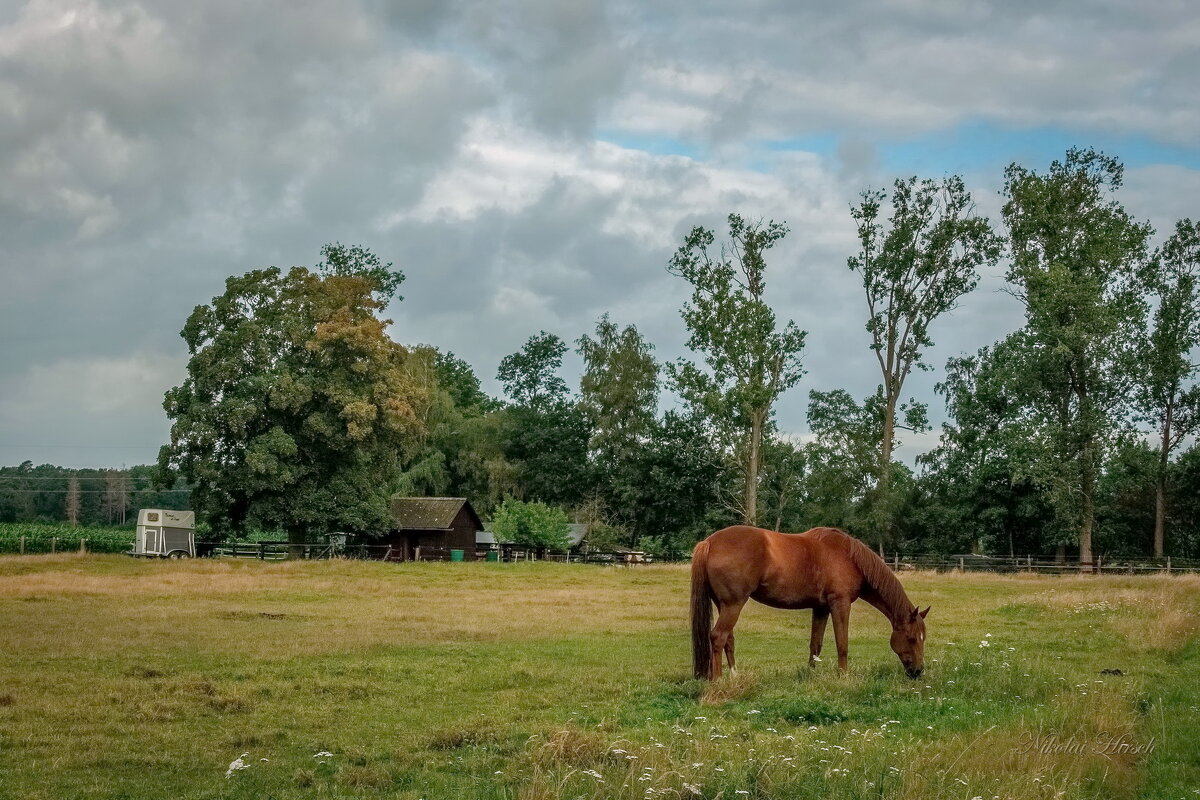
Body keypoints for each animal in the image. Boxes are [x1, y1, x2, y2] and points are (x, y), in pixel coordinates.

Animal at [691, 525, 931, 681]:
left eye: (923, 638)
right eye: (911, 638)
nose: (919, 671)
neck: (849, 557)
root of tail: (709, 542)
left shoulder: (821, 608)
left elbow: (816, 644)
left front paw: (810, 674)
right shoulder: (840, 604)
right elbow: (842, 643)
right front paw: (843, 676)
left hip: (724, 605)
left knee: (728, 639)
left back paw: (733, 675)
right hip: (733, 604)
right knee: (718, 637)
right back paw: (718, 680)